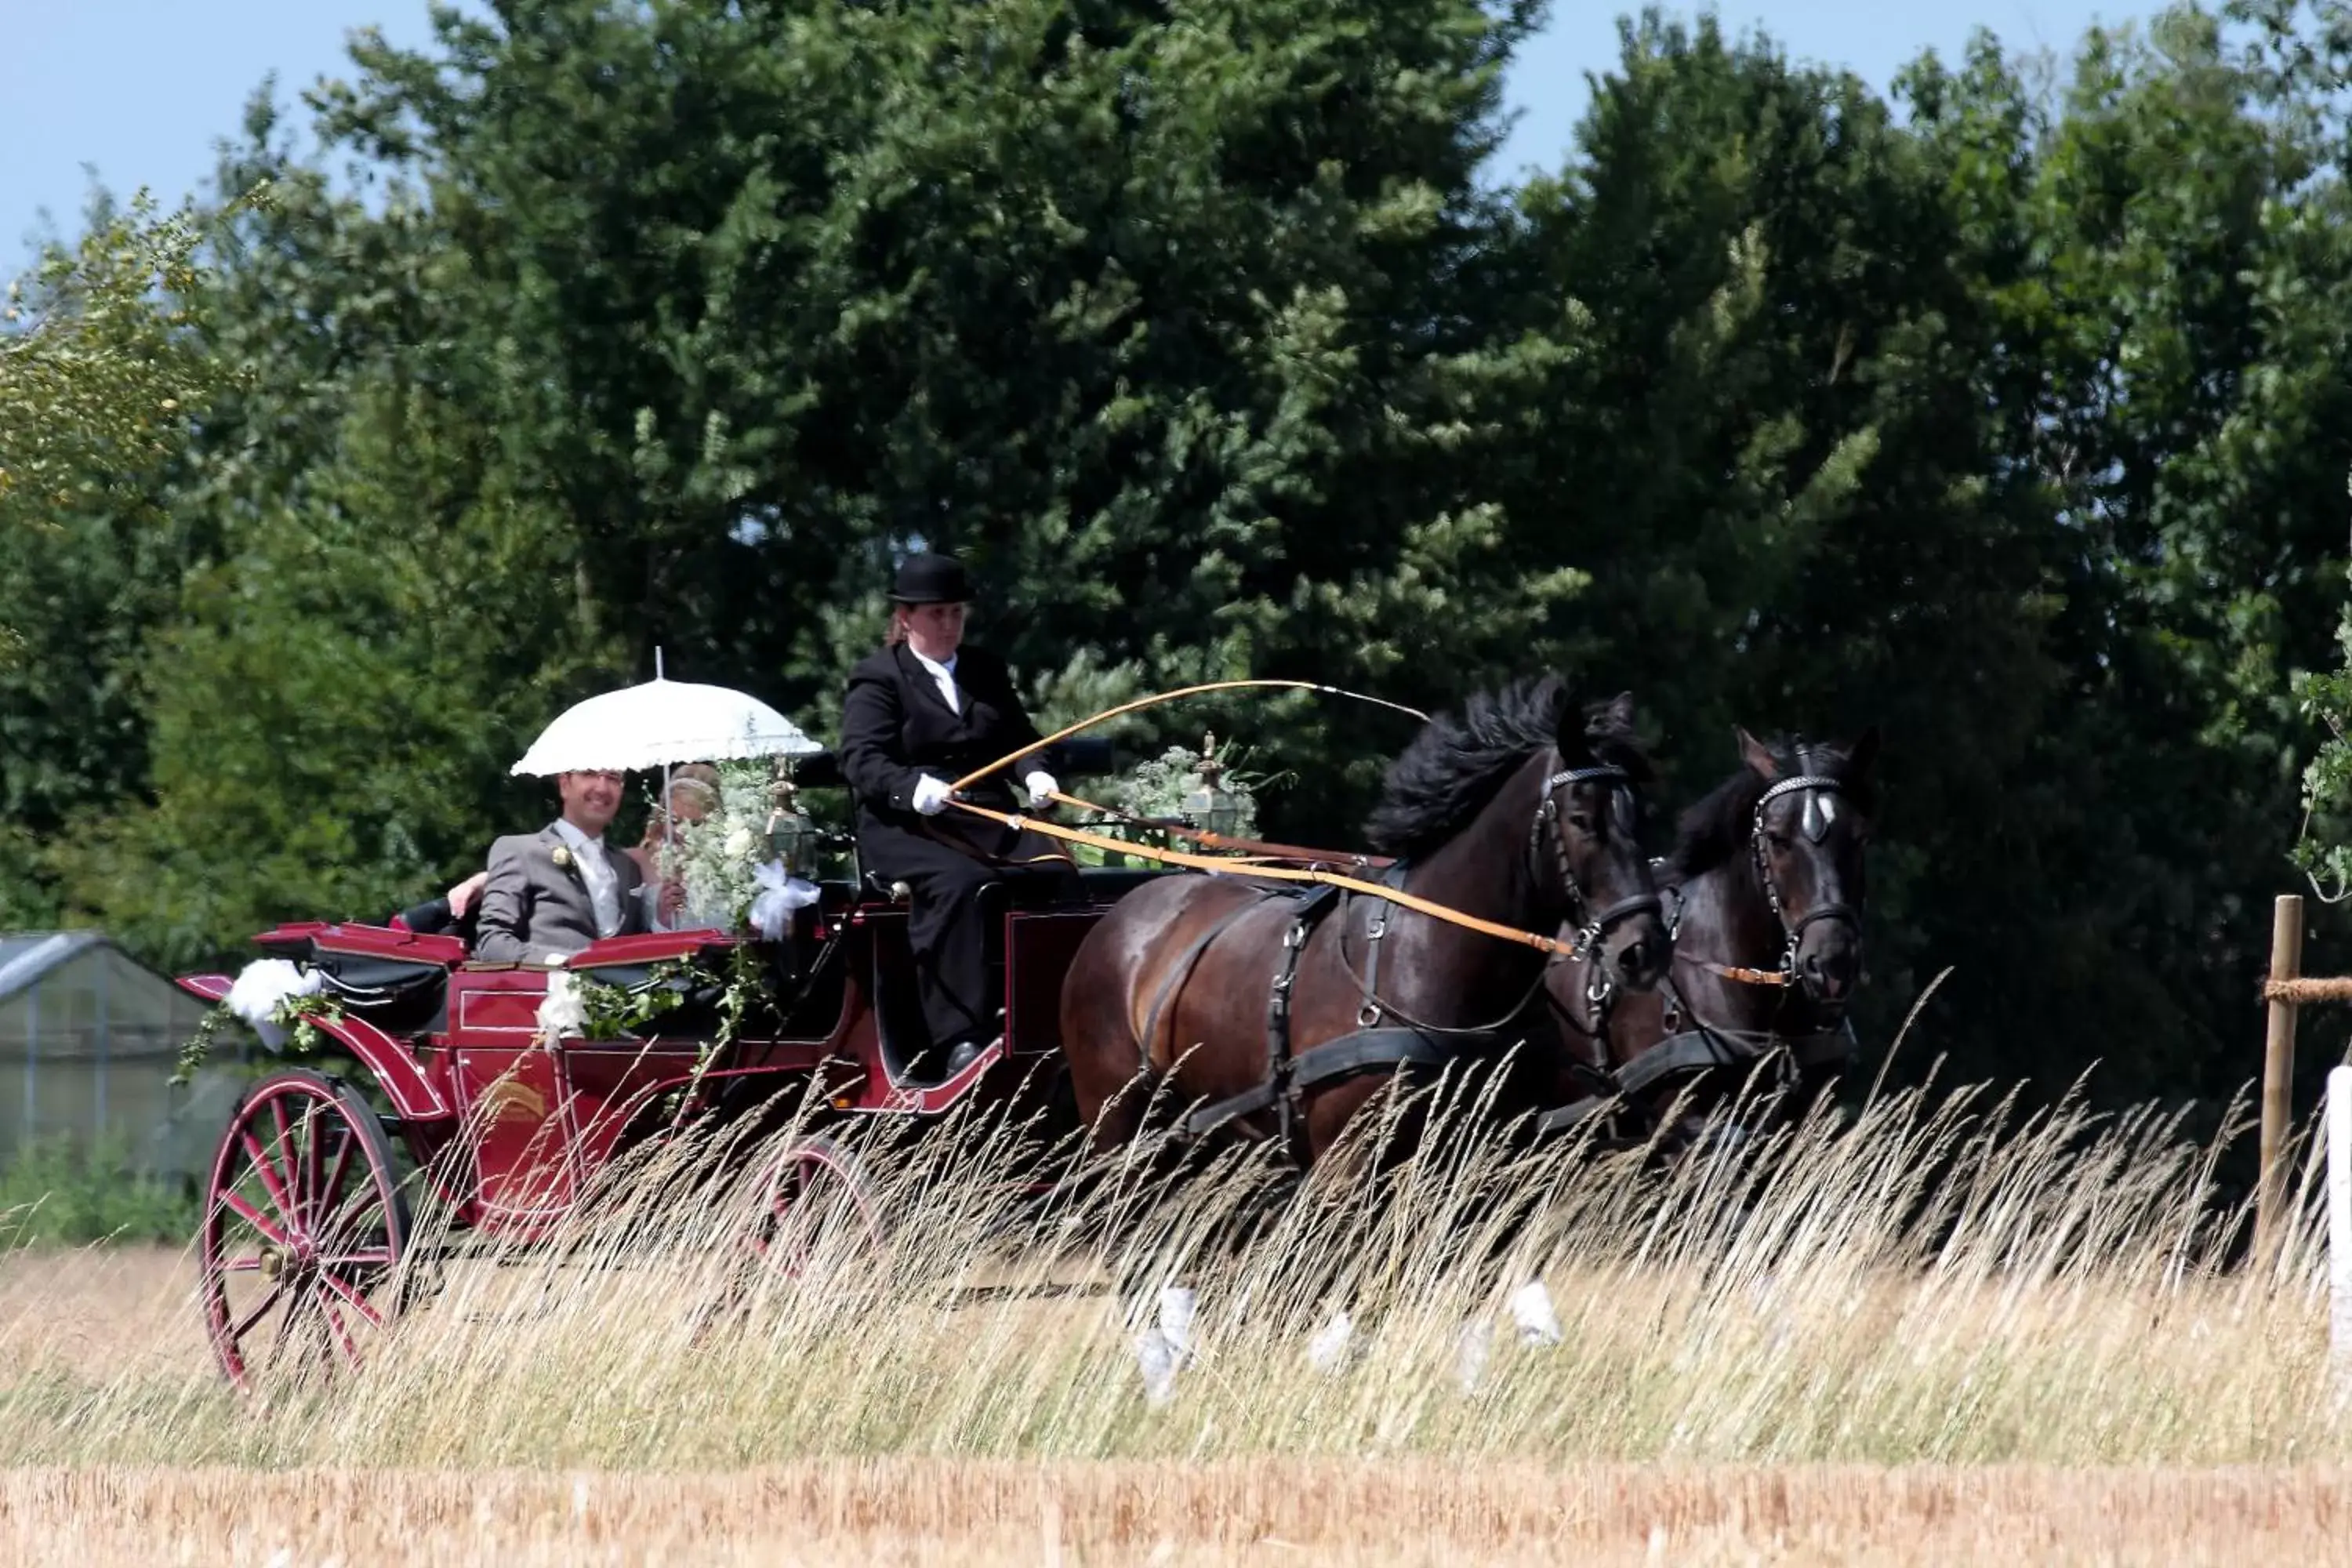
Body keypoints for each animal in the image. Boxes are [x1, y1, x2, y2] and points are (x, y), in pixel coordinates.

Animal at [1068, 681, 1675, 1171]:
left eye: (1643, 815)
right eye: (1582, 819)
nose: (1643, 950)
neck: (1427, 958)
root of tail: (1121, 915)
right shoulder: (1348, 1167)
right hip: (1116, 1129)